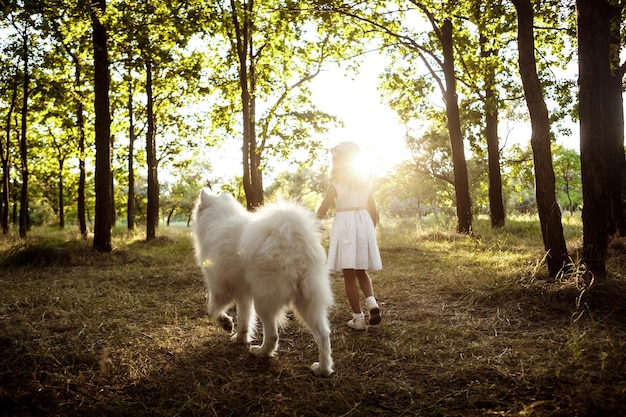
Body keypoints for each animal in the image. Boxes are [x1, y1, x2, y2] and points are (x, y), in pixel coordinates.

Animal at [193, 190, 334, 376]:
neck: (219, 217)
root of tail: (293, 239)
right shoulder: (243, 295)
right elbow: (244, 320)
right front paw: (240, 338)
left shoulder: (219, 289)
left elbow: (212, 311)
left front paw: (226, 324)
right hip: (308, 301)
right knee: (323, 335)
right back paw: (323, 369)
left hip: (264, 301)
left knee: (273, 335)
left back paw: (260, 352)